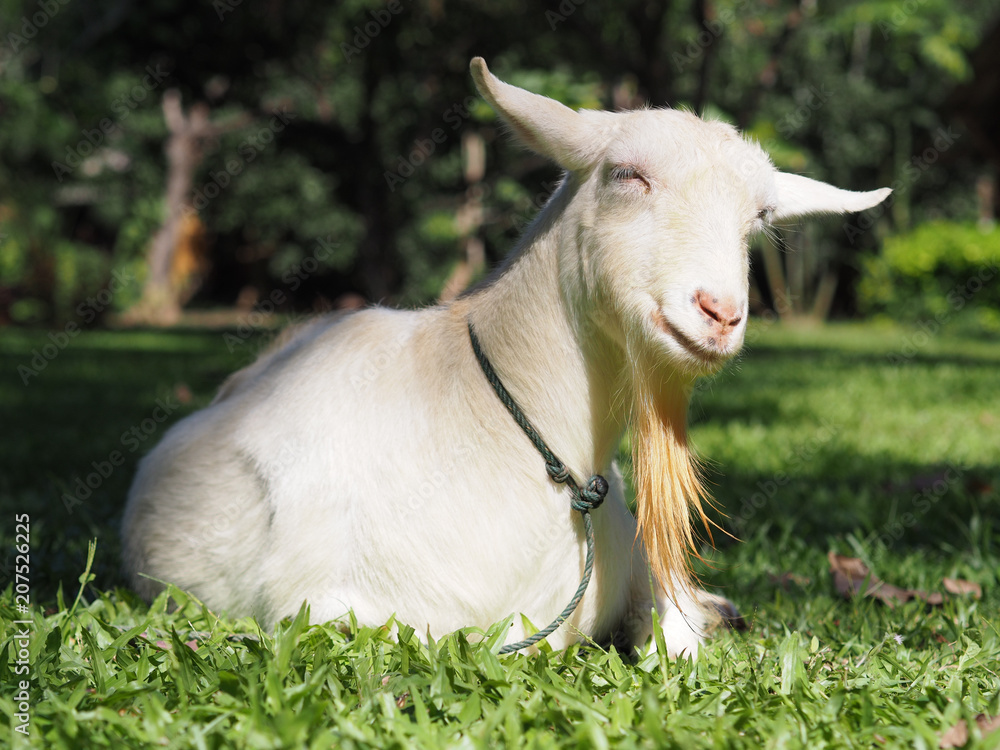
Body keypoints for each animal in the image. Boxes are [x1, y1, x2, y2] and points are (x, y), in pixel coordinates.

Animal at [122, 58, 891, 656]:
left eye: (758, 218)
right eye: (625, 175)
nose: (721, 312)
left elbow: (675, 633)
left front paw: (707, 615)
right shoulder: (332, 607)